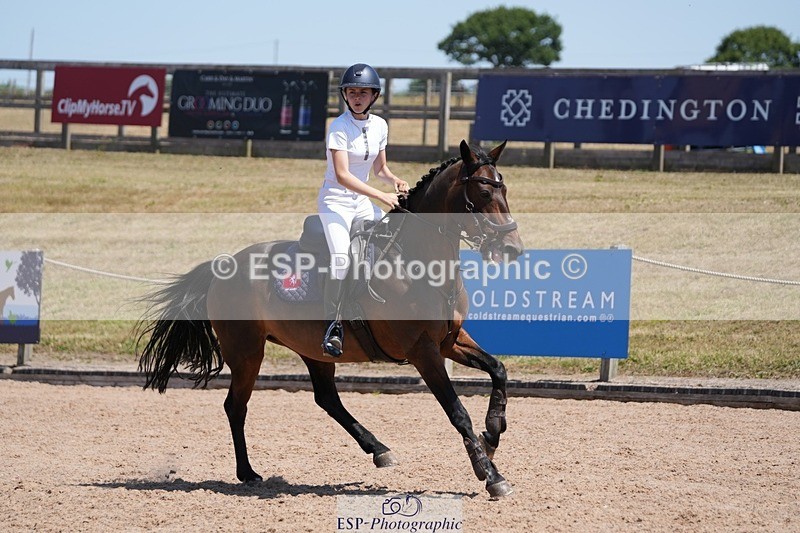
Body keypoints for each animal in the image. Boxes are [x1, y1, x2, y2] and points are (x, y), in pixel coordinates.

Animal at [137, 140, 524, 498]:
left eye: (504, 189)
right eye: (484, 191)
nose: (513, 249)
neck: (418, 260)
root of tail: (222, 265)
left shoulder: (449, 341)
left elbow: (498, 369)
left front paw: (492, 433)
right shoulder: (422, 352)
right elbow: (457, 411)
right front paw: (490, 474)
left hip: (311, 348)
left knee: (326, 398)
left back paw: (379, 450)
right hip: (247, 352)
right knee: (236, 405)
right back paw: (248, 472)